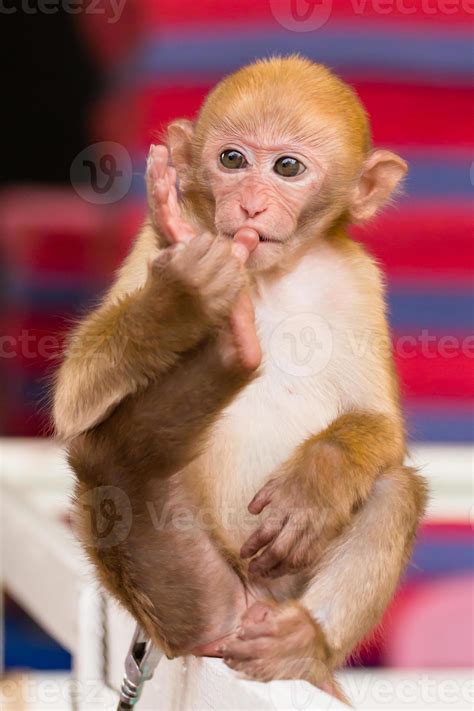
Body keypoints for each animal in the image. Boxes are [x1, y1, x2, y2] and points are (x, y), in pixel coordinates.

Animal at [54, 56, 427, 700]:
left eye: (287, 167)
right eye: (232, 159)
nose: (250, 206)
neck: (268, 276)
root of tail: (244, 606)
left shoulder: (358, 282)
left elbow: (382, 426)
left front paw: (316, 483)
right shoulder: (150, 248)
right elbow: (73, 401)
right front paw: (184, 295)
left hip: (279, 596)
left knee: (393, 486)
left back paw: (301, 644)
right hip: (187, 588)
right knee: (109, 459)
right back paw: (231, 349)